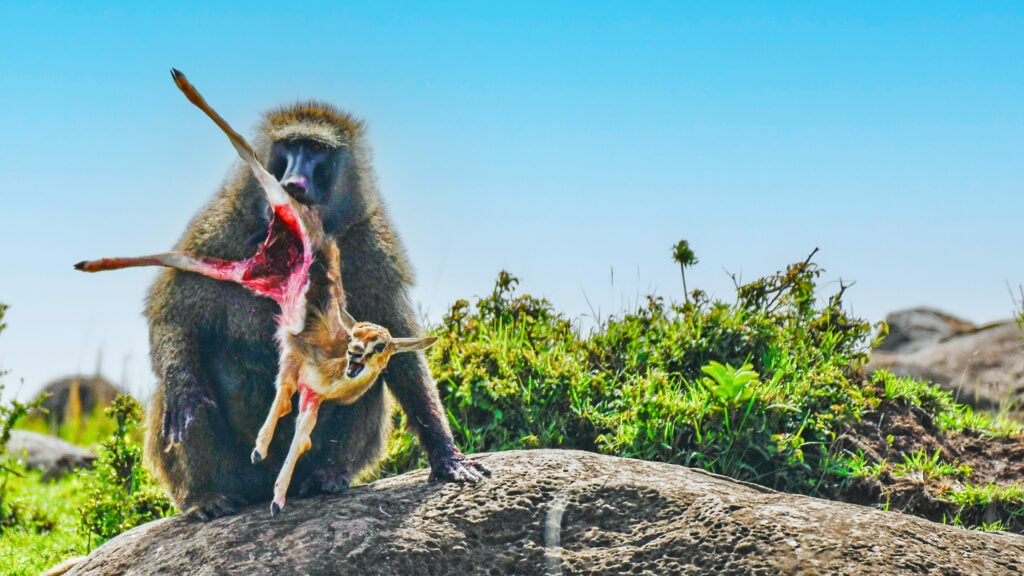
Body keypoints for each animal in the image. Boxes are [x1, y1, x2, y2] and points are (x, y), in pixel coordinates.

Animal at [141, 75, 489, 520]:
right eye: (290, 147)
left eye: (317, 150)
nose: (292, 182)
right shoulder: (219, 227)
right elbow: (172, 309)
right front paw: (184, 388)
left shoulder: (372, 248)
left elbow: (399, 349)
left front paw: (447, 457)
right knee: (185, 388)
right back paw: (207, 495)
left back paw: (328, 475)